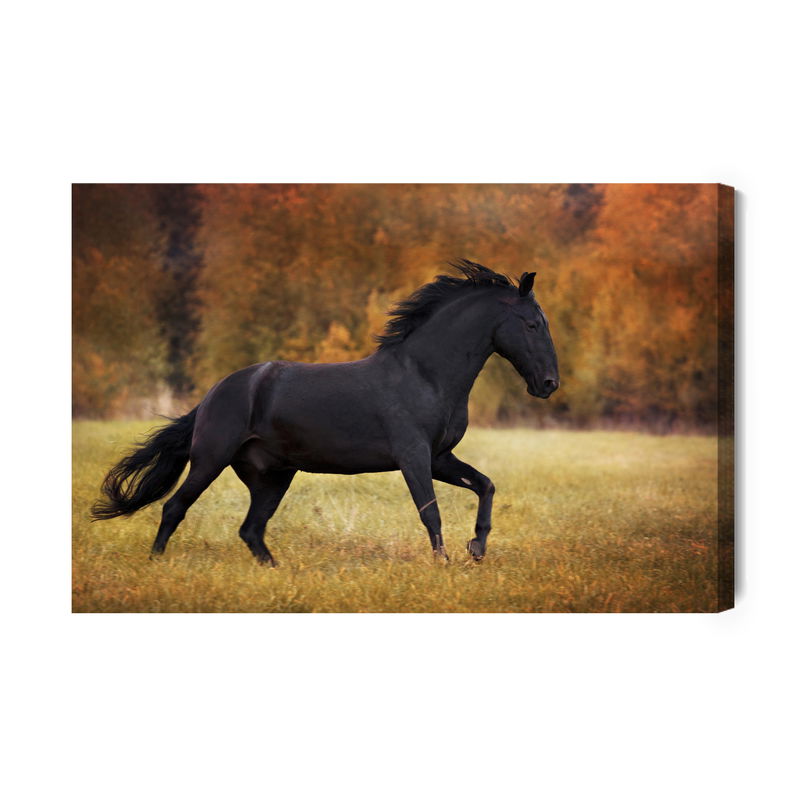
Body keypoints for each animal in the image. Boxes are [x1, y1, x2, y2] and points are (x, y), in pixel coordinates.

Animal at [92, 260, 559, 564]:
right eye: (532, 324)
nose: (549, 384)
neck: (426, 375)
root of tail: (213, 396)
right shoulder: (413, 456)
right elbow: (431, 512)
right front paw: (444, 565)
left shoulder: (440, 457)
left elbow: (485, 485)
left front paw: (476, 549)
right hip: (210, 459)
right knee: (175, 508)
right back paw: (156, 563)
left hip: (272, 476)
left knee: (251, 529)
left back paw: (276, 572)